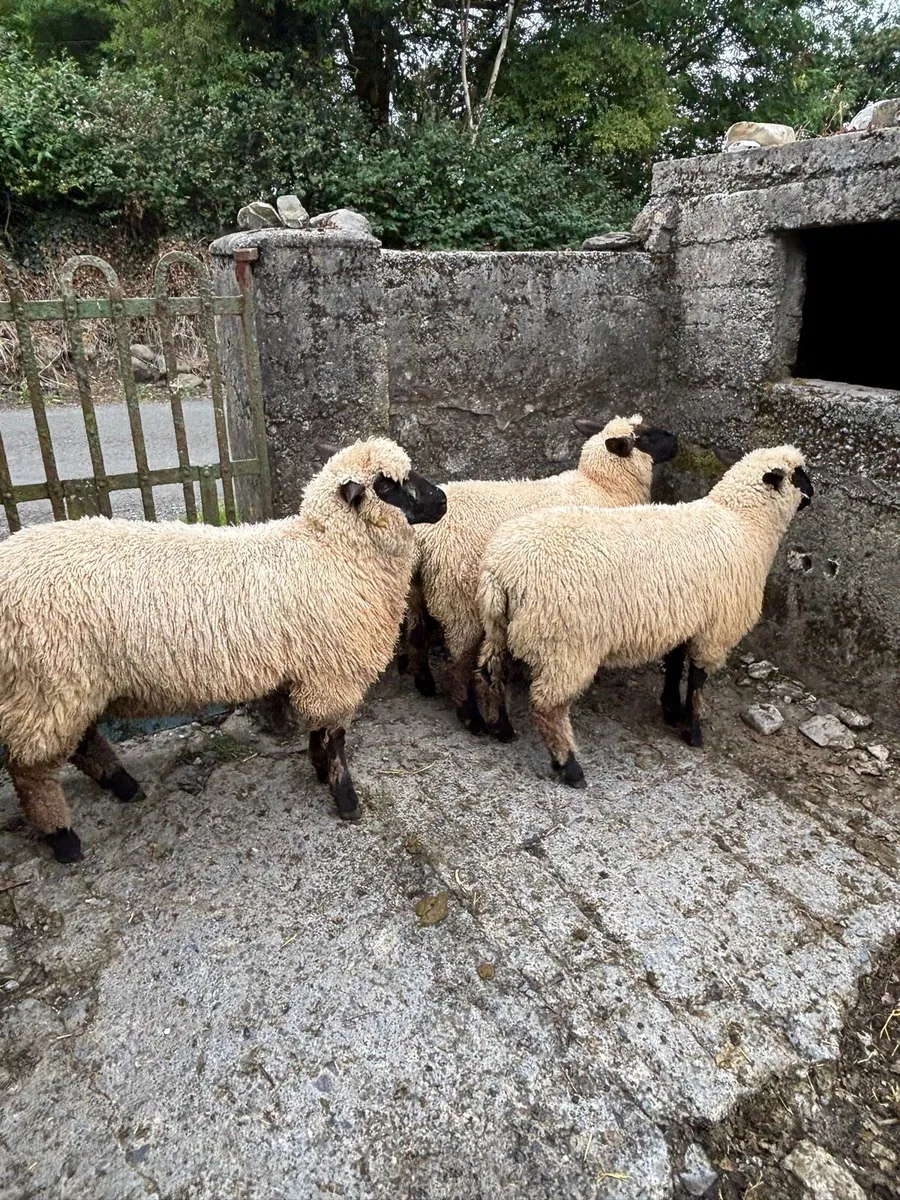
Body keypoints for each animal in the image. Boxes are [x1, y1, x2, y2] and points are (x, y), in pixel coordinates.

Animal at [0, 438, 447, 862]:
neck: (330, 550)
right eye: (387, 486)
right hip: (45, 681)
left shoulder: (317, 669)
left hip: (67, 683)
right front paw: (345, 797)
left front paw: (319, 768)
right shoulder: (334, 671)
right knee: (29, 769)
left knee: (80, 742)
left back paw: (123, 786)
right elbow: (334, 736)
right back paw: (63, 839)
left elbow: (318, 730)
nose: (442, 500)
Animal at [405, 414, 678, 738]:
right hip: (458, 597)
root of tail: (424, 537)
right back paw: (471, 718)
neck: (602, 486)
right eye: (645, 438)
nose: (677, 441)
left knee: (416, 634)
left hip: (417, 590)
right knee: (458, 661)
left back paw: (424, 684)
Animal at [476, 446, 813, 786]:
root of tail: (502, 571)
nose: (812, 495)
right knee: (548, 707)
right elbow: (698, 681)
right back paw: (569, 766)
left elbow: (675, 664)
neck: (744, 524)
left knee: (492, 673)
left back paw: (502, 729)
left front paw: (672, 710)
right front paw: (694, 732)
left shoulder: (684, 620)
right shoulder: (715, 630)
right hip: (566, 645)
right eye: (798, 474)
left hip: (501, 628)